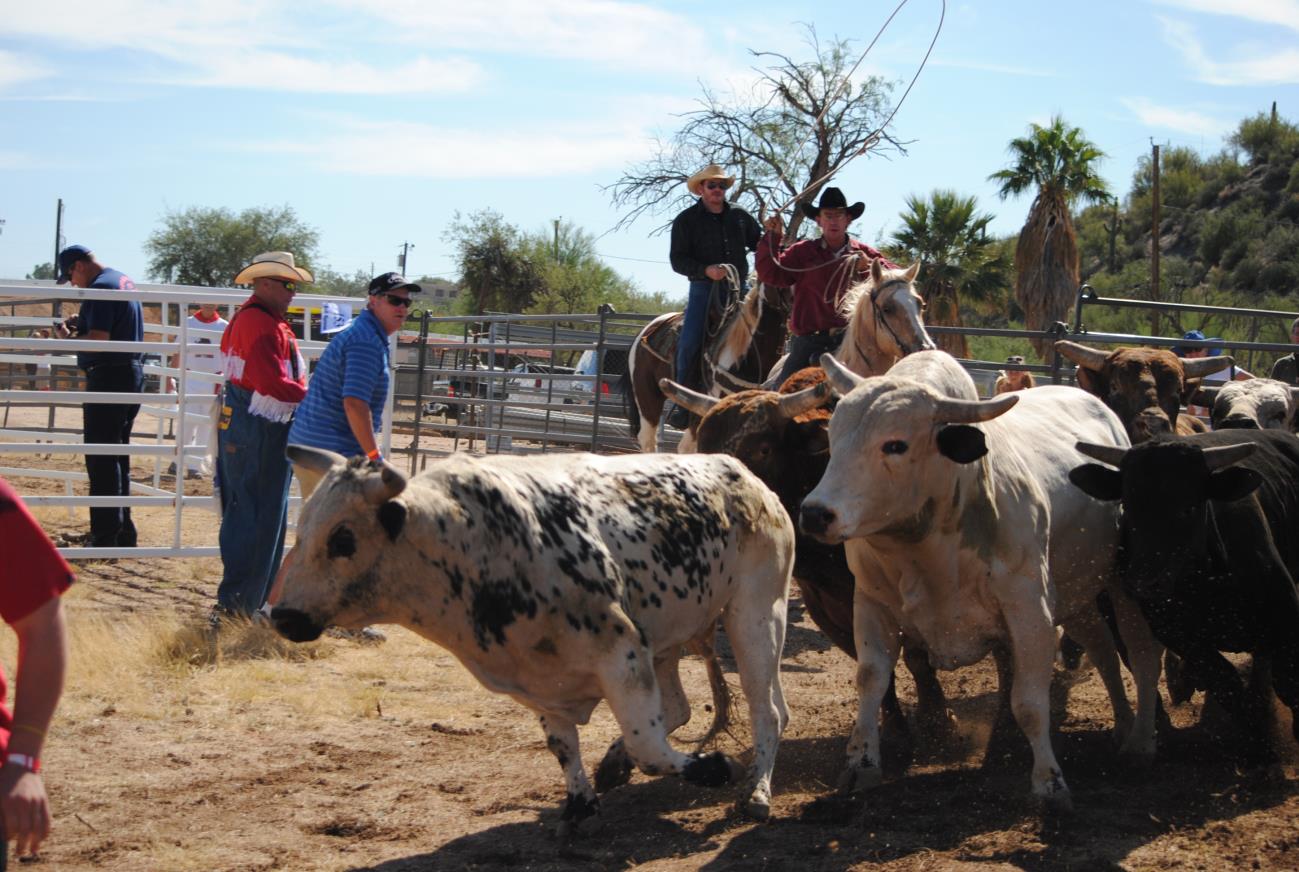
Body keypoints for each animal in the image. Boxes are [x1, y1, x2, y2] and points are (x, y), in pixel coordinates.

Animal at [271, 447, 789, 836]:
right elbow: (564, 745)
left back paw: (756, 793)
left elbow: (648, 746)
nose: (282, 615)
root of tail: (747, 476)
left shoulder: (622, 653)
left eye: (343, 538)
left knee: (767, 711)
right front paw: (581, 803)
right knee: (681, 706)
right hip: (669, 637)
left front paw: (714, 768)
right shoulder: (543, 680)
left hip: (757, 614)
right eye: (304, 527)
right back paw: (615, 765)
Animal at [1070, 428, 1299, 748]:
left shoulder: (1285, 623)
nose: (1142, 582)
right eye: (1128, 506)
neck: (1206, 580)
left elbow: (1288, 684)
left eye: (1188, 508)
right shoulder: (1182, 637)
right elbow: (1225, 682)